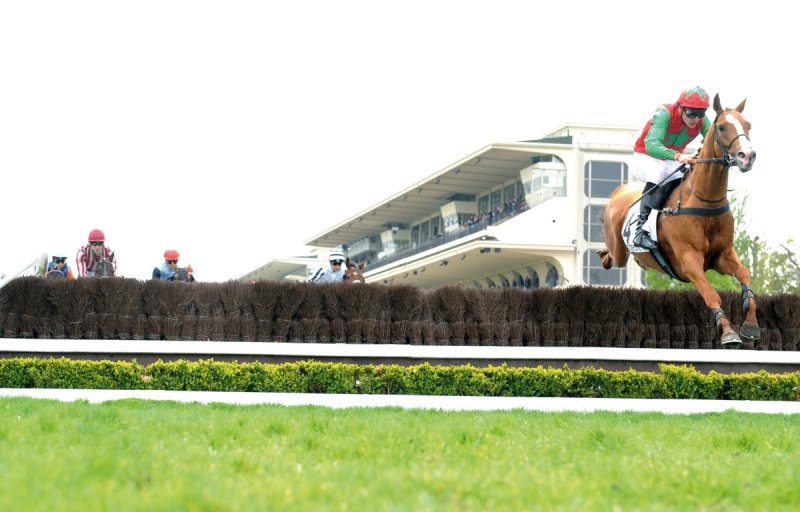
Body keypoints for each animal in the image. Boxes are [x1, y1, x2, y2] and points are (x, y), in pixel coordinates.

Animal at [598, 93, 758, 346]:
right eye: (722, 127)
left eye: (748, 125)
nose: (748, 156)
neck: (704, 200)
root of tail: (620, 190)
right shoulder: (689, 260)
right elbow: (711, 294)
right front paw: (728, 332)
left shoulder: (722, 256)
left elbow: (744, 273)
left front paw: (750, 324)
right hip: (620, 251)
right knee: (611, 256)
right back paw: (605, 253)